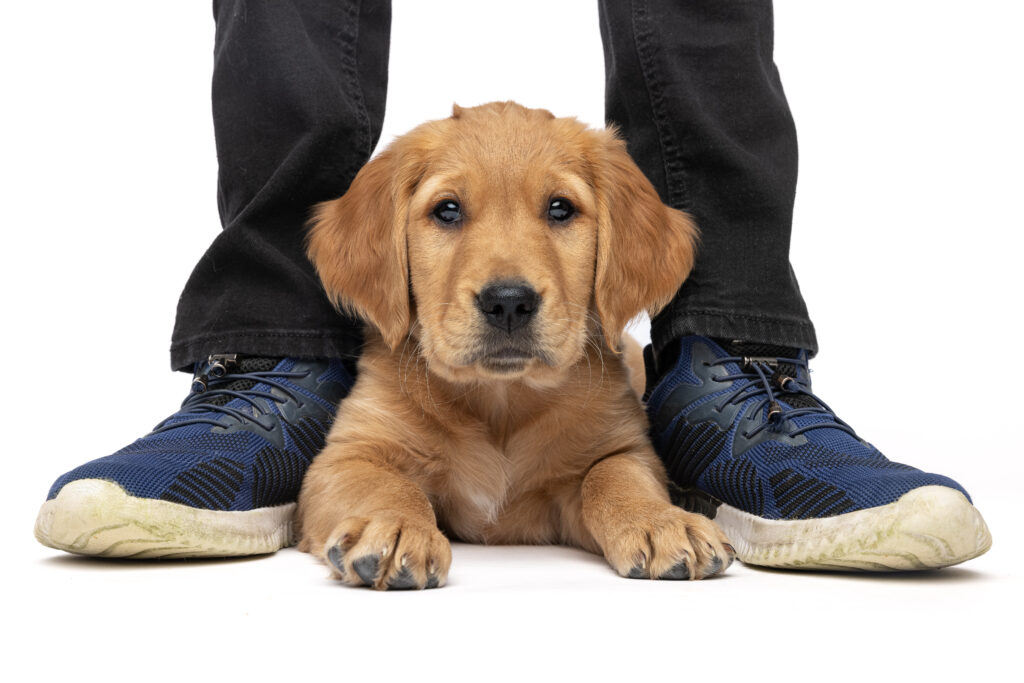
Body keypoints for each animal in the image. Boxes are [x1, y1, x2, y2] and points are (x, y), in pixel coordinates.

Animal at [296, 100, 737, 589]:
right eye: (447, 210)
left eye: (560, 209)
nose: (508, 302)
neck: (502, 402)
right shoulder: (349, 452)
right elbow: (383, 485)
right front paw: (394, 527)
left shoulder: (622, 443)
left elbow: (613, 474)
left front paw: (660, 520)